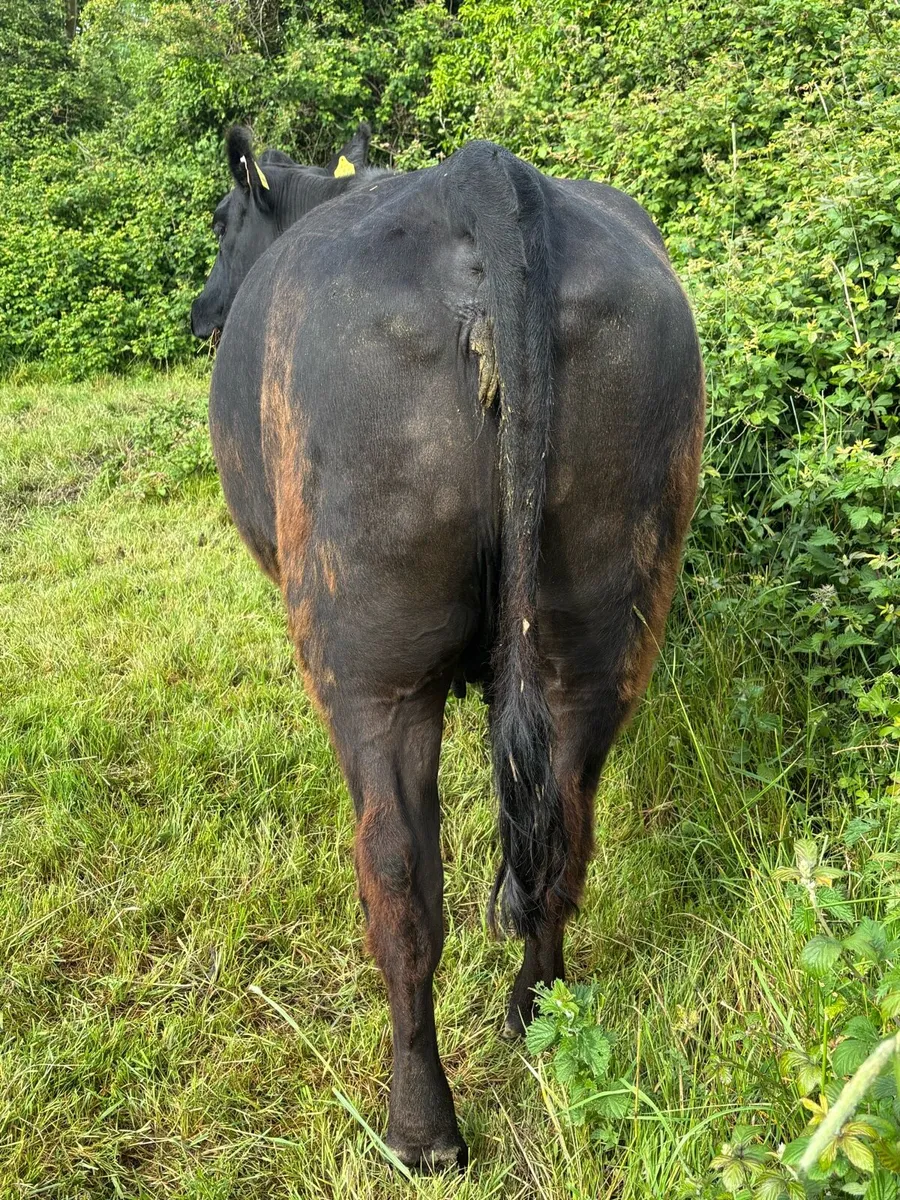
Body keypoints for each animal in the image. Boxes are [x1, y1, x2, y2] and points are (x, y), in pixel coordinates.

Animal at [190, 122, 705, 1171]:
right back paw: (535, 1011)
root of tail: (482, 176)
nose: (198, 315)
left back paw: (420, 1125)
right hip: (603, 620)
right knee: (563, 827)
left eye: (222, 222)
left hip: (371, 662)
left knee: (398, 883)